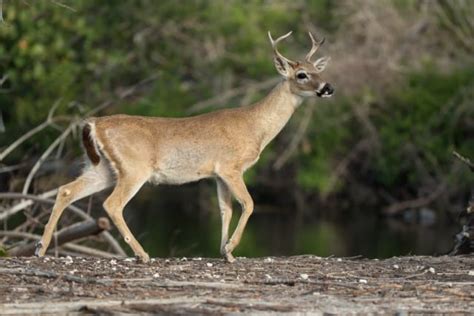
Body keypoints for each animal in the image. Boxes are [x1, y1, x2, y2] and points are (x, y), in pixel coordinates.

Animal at [35, 30, 334, 262]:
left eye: (319, 70)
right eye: (302, 75)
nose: (328, 88)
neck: (255, 126)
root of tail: (94, 123)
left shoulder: (217, 174)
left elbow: (225, 209)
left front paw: (226, 252)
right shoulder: (231, 167)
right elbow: (248, 203)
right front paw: (231, 247)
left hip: (104, 167)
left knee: (65, 190)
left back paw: (41, 247)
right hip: (134, 168)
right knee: (112, 204)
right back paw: (142, 254)